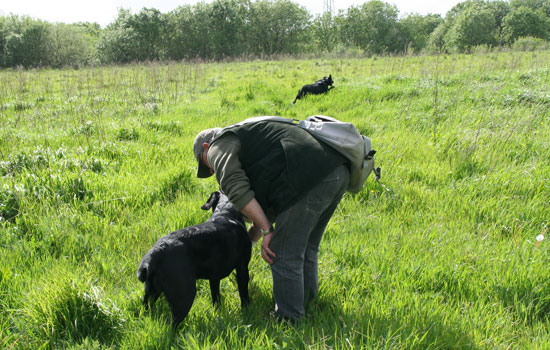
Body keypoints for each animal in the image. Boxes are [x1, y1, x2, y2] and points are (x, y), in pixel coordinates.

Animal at [138, 191, 252, 328]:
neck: (225, 212)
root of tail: (154, 256)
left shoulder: (214, 277)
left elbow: (216, 297)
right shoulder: (242, 269)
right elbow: (244, 295)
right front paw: (246, 312)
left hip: (151, 292)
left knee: (146, 308)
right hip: (185, 294)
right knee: (172, 324)